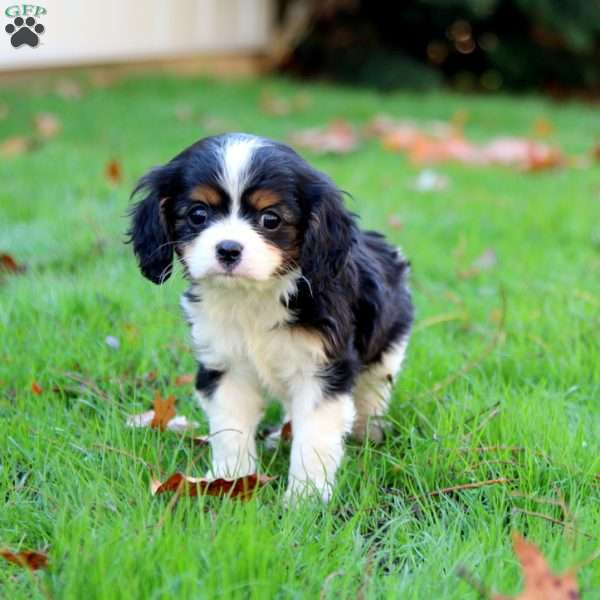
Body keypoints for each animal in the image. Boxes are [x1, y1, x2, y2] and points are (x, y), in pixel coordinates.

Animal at [129, 132, 412, 502]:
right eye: (197, 214)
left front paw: (305, 499)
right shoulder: (225, 367)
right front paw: (230, 480)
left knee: (372, 392)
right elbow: (230, 431)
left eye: (271, 219)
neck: (255, 295)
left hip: (386, 349)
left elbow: (314, 438)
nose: (228, 249)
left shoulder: (322, 370)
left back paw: (369, 432)